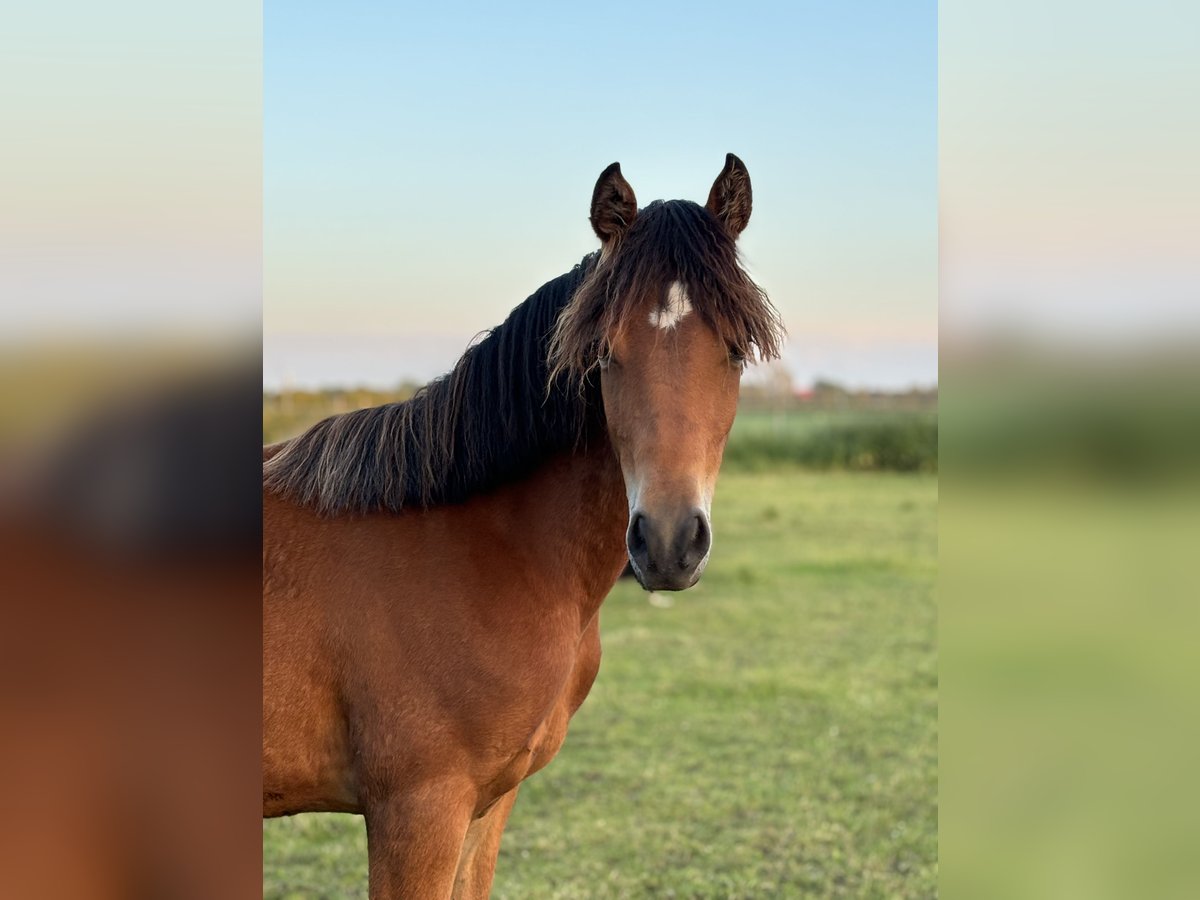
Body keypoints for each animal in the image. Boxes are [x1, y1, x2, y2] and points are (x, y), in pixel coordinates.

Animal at [262, 157, 782, 900]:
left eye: (736, 351)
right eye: (605, 353)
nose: (668, 543)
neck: (486, 550)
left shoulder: (489, 804)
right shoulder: (419, 808)